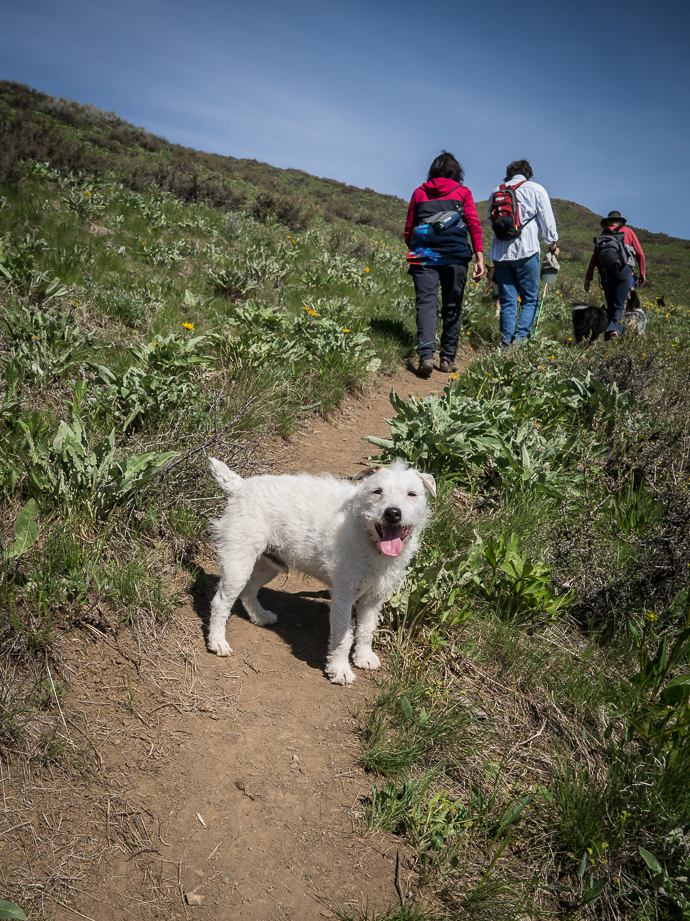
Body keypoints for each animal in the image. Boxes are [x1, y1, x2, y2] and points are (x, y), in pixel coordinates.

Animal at [207, 458, 436, 684]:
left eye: (412, 494)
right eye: (377, 491)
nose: (393, 513)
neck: (371, 540)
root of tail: (240, 485)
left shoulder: (374, 597)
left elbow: (366, 629)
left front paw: (363, 657)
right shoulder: (343, 596)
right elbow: (344, 636)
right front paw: (340, 669)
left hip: (269, 566)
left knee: (249, 590)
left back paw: (261, 616)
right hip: (238, 562)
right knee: (221, 601)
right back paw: (217, 642)